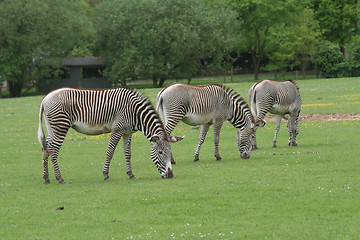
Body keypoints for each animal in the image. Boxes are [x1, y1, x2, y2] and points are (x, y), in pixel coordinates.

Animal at [38, 87, 181, 184]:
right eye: (161, 152)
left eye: (170, 152)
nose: (170, 175)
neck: (135, 113)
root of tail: (45, 99)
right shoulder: (117, 130)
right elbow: (110, 152)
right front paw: (106, 175)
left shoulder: (127, 132)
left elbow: (127, 153)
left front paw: (131, 174)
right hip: (60, 126)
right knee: (53, 151)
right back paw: (59, 178)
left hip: (52, 128)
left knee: (45, 149)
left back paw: (46, 178)